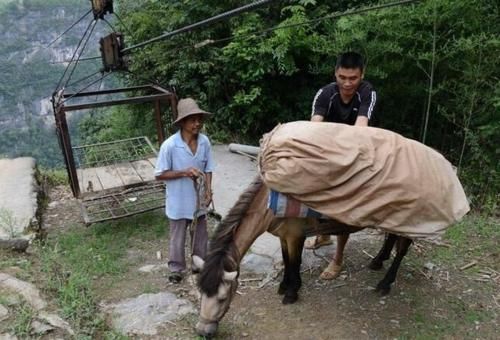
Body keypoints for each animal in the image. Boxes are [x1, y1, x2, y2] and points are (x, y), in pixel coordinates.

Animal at [193, 177, 412, 336]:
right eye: (201, 293)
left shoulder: (295, 235)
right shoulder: (283, 236)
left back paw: (385, 283)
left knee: (402, 248)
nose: (203, 332)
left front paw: (292, 292)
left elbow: (294, 262)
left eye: (222, 298)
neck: (270, 204)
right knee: (391, 237)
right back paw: (378, 260)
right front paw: (284, 287)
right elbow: (286, 259)